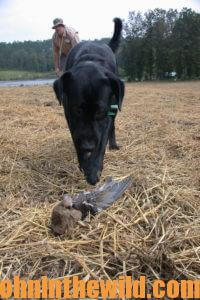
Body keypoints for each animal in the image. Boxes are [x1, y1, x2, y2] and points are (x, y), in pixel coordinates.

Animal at [54, 18, 124, 185]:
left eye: (99, 112)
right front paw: (85, 165)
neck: (90, 61)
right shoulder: (70, 118)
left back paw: (113, 144)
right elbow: (76, 139)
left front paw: (93, 170)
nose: (87, 146)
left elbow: (101, 143)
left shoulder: (106, 117)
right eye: (77, 110)